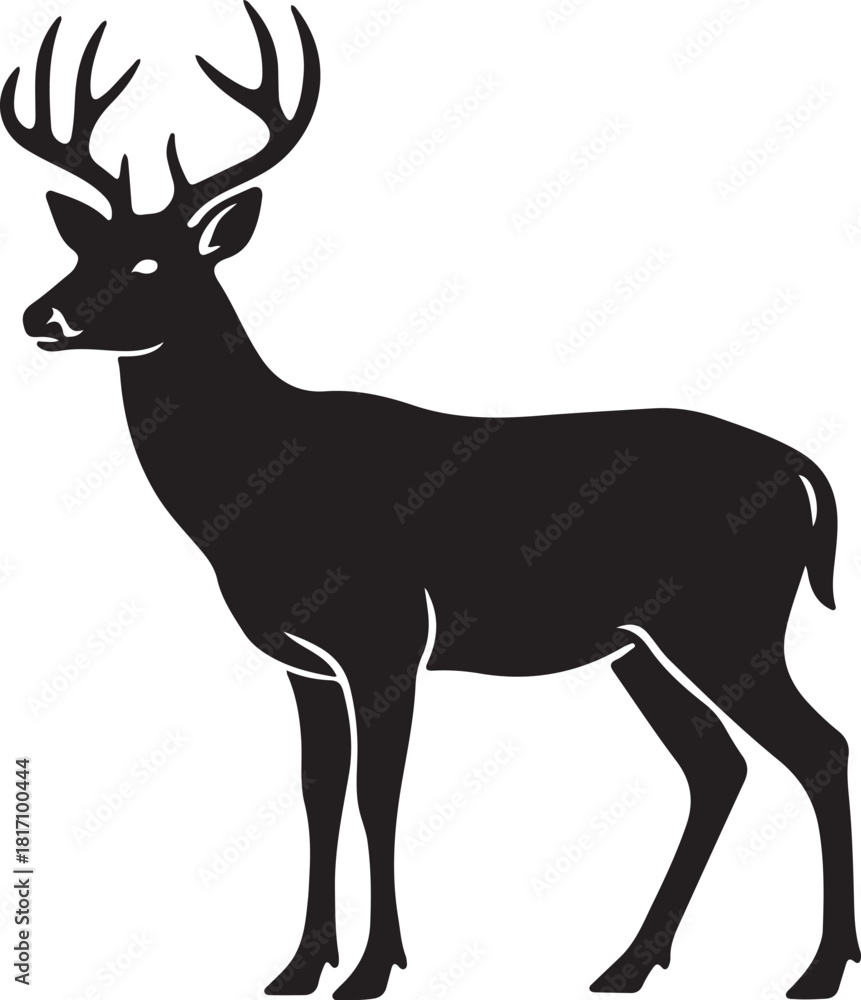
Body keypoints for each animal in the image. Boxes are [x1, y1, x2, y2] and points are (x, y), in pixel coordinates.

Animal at [3, 4, 858, 998]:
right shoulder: (304, 660)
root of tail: (803, 472)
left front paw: (374, 967)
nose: (39, 315)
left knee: (817, 748)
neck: (259, 489)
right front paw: (298, 965)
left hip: (727, 620)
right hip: (641, 643)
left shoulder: (386, 635)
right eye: (81, 246)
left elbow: (380, 796)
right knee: (716, 766)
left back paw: (817, 968)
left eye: (149, 263)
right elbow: (317, 795)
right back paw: (628, 961)